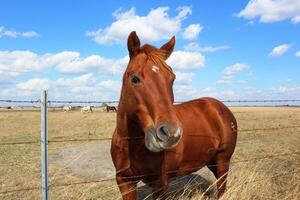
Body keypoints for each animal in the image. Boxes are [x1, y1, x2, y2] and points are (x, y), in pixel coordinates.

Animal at [110, 31, 237, 200]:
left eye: (172, 78)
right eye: (135, 79)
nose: (171, 133)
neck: (131, 144)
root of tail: (220, 107)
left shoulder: (160, 184)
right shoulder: (125, 182)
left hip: (222, 161)